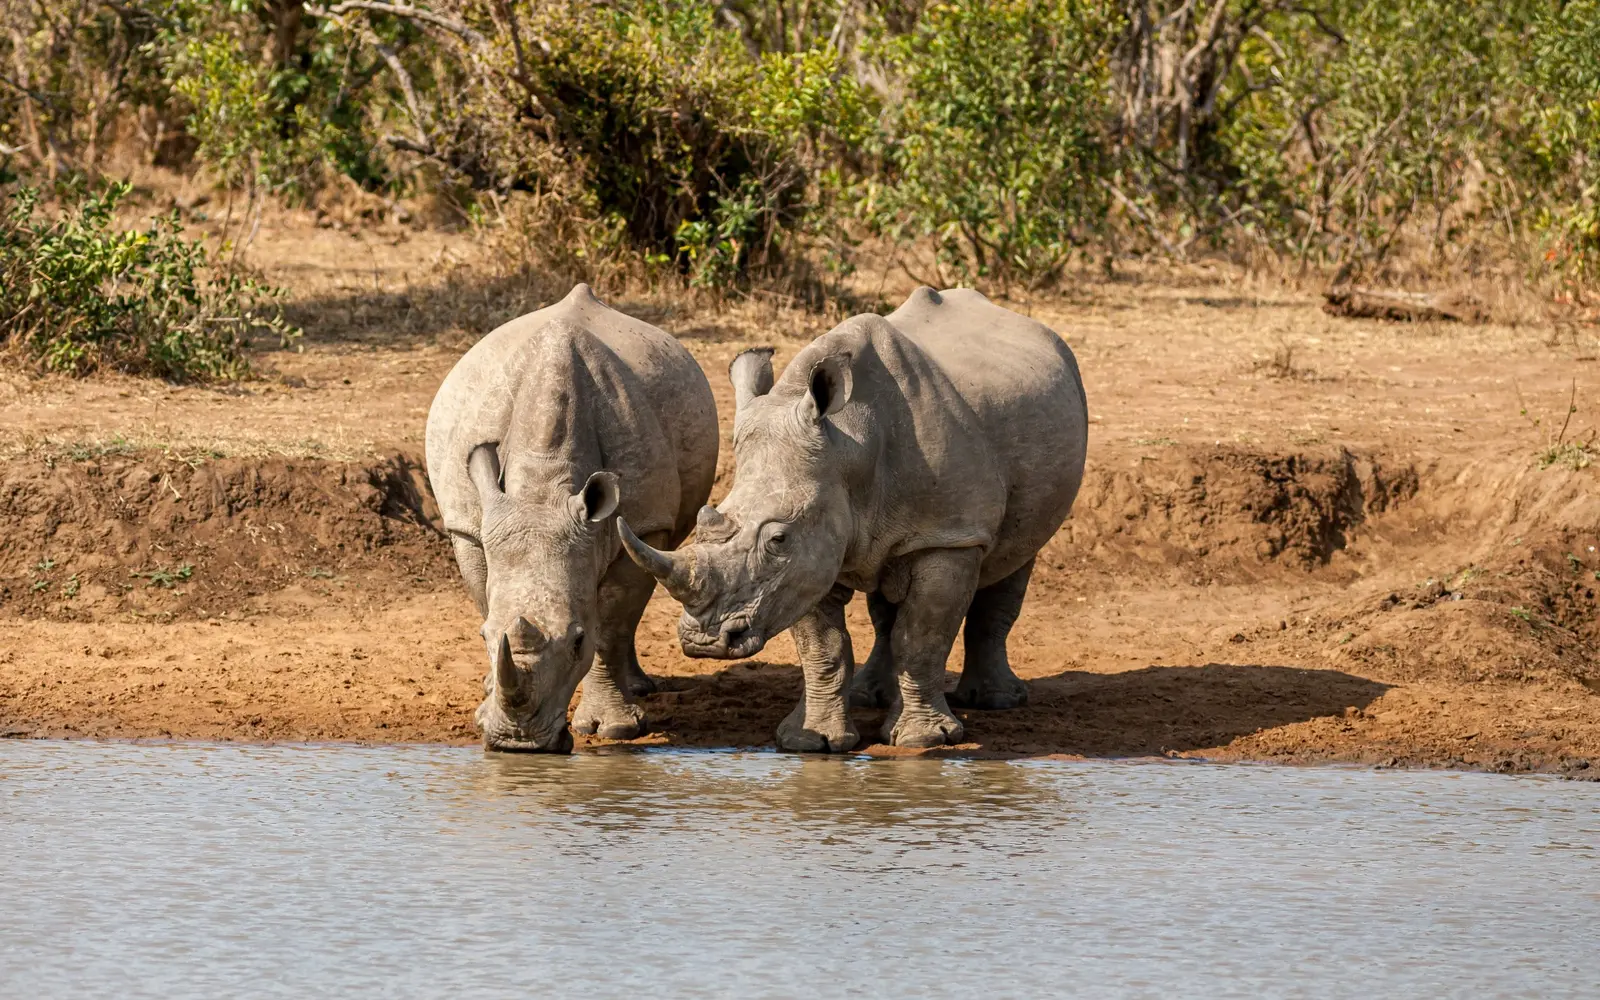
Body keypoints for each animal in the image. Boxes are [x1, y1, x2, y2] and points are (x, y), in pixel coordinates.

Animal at [426, 284, 718, 752]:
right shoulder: (470, 527)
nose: (518, 743)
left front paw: (613, 729)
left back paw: (639, 690)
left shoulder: (646, 522)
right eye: (482, 638)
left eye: (578, 642)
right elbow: (485, 597)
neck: (543, 488)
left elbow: (612, 623)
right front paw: (486, 706)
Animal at [618, 287, 1087, 752]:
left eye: (777, 539)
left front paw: (923, 741)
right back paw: (868, 696)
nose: (704, 642)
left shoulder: (948, 534)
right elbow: (823, 647)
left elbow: (922, 635)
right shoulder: (809, 555)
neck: (849, 445)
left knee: (1014, 558)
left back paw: (995, 702)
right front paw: (811, 741)